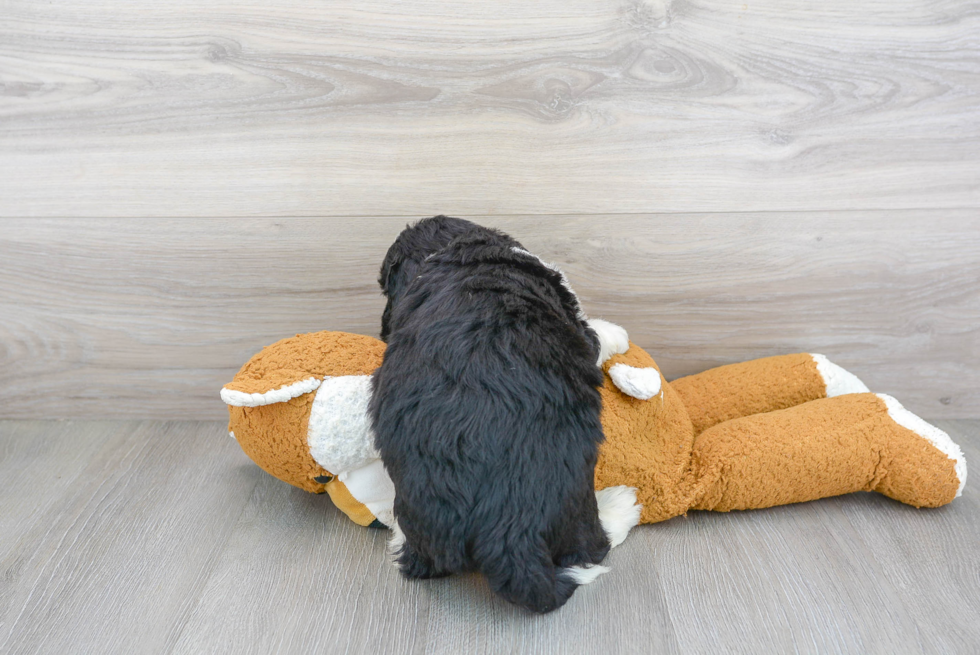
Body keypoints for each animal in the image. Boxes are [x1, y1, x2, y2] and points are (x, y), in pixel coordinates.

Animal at [372, 218, 632, 612]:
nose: (382, 327)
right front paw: (619, 333)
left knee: (417, 559)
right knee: (590, 548)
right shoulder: (576, 323)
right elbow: (596, 334)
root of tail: (509, 533)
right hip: (577, 500)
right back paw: (622, 505)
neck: (448, 250)